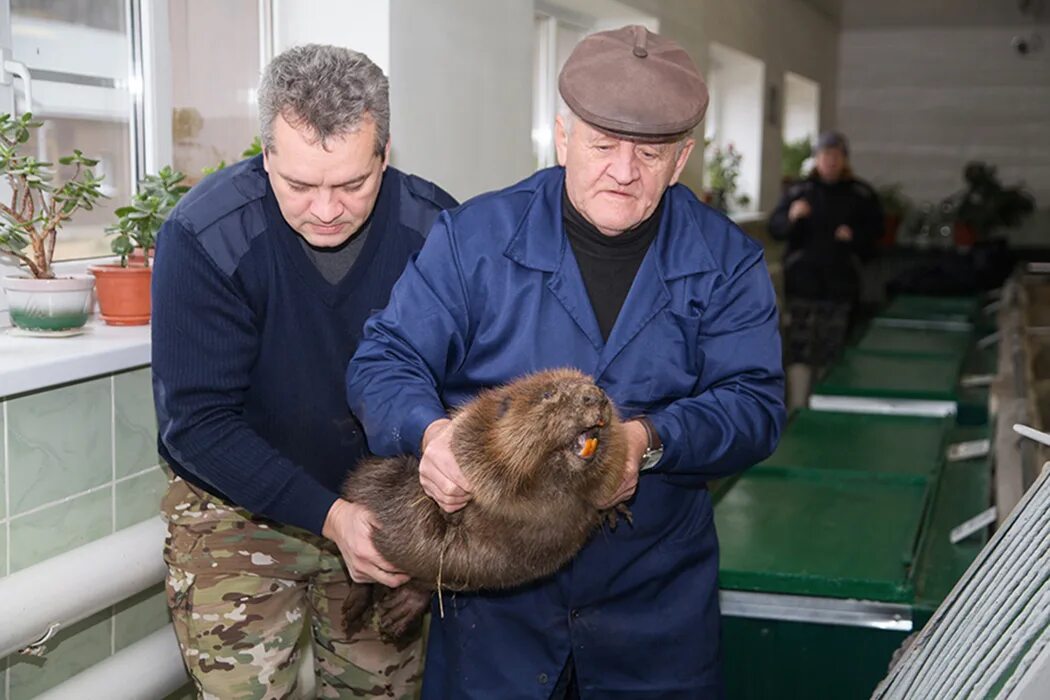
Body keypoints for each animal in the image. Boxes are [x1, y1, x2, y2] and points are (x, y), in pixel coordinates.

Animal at [340, 369, 625, 642]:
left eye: (593, 384)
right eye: (547, 394)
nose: (595, 396)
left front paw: (616, 510)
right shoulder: (470, 436)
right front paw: (448, 511)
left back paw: (398, 615)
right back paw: (352, 612)